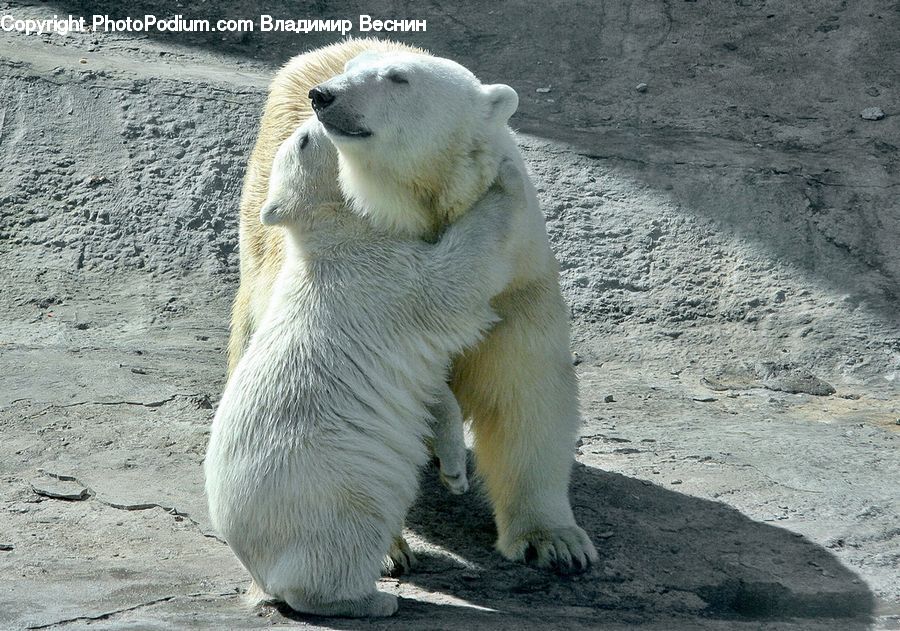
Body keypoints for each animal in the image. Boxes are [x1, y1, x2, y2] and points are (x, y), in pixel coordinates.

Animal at [206, 117, 526, 617]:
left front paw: (455, 471)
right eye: (303, 140)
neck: (338, 233)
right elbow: (453, 281)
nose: (317, 110)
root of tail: (256, 568)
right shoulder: (384, 278)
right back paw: (372, 599)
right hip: (328, 497)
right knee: (339, 549)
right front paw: (506, 177)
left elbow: (431, 392)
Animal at [228, 39, 598, 573]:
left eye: (398, 78)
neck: (423, 206)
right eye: (353, 72)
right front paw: (387, 549)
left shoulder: (518, 286)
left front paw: (555, 541)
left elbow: (525, 392)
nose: (324, 95)